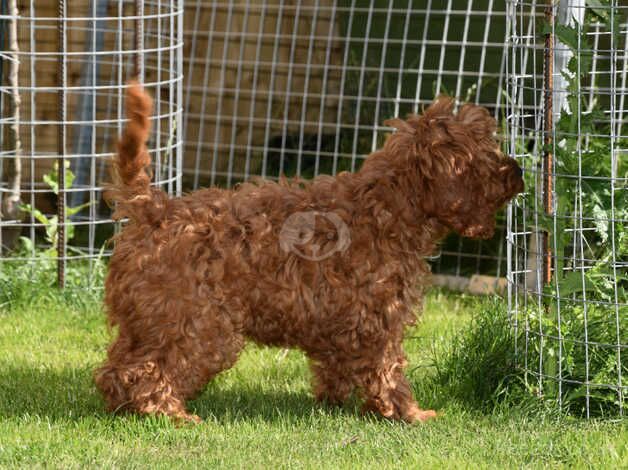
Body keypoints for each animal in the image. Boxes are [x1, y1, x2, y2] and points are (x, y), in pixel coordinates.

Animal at [94, 82, 524, 424]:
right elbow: (388, 371)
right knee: (147, 369)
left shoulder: (342, 321)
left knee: (115, 368)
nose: (518, 171)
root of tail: (155, 208)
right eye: (485, 154)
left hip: (148, 320)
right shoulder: (379, 318)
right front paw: (408, 414)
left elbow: (338, 366)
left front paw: (333, 403)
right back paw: (167, 413)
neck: (386, 208)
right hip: (195, 324)